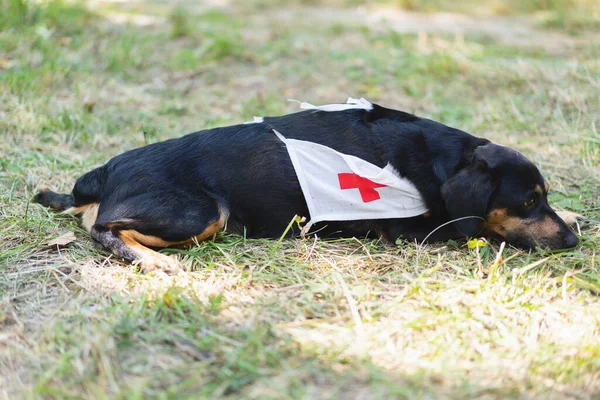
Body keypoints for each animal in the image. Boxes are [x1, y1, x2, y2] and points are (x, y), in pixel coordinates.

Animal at [35, 100, 580, 272]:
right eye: (528, 201)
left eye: (544, 197)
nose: (574, 242)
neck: (441, 161)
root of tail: (105, 170)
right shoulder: (412, 232)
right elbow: (482, 228)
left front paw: (574, 213)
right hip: (204, 212)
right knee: (103, 229)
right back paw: (154, 261)